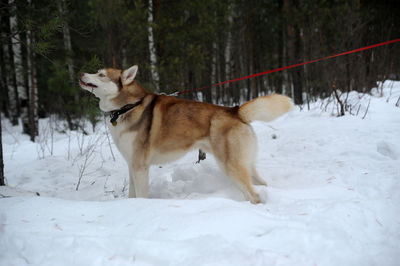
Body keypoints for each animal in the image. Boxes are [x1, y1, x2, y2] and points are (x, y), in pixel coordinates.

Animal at [79, 65, 292, 203]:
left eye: (101, 74)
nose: (80, 72)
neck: (127, 106)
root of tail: (235, 110)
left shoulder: (140, 166)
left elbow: (141, 196)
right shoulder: (132, 165)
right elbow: (132, 195)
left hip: (231, 166)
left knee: (253, 195)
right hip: (245, 165)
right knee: (261, 184)